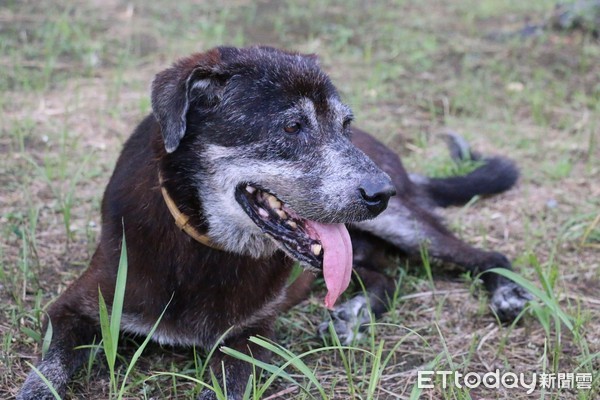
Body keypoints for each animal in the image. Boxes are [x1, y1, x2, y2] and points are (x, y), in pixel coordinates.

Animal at [16, 45, 528, 398]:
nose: (381, 193)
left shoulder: (246, 340)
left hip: (406, 226)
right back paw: (353, 314)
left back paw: (505, 292)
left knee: (482, 254)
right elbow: (48, 371)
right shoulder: (74, 308)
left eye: (342, 125)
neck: (201, 244)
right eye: (291, 127)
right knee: (383, 275)